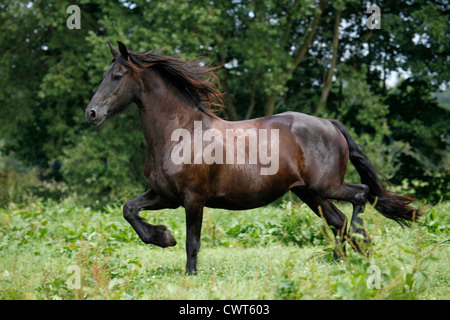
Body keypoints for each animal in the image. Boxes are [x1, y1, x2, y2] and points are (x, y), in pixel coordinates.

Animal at [86, 41, 420, 274]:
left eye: (116, 76)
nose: (92, 113)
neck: (179, 134)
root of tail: (330, 123)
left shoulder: (193, 198)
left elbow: (192, 242)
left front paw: (188, 273)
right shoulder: (164, 195)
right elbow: (129, 210)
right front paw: (162, 236)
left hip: (327, 186)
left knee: (360, 195)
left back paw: (363, 244)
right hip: (310, 193)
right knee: (338, 221)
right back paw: (342, 261)